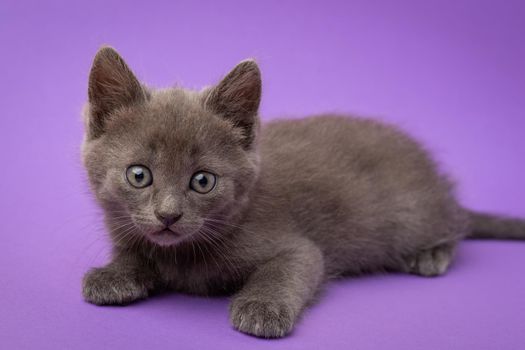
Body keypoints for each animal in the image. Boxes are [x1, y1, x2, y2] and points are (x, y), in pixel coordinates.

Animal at [82, 47, 524, 340]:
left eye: (203, 181)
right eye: (139, 175)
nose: (168, 216)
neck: (181, 254)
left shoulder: (300, 247)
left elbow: (290, 267)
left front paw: (262, 307)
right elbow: (134, 253)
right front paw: (113, 274)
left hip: (412, 216)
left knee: (455, 225)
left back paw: (431, 254)